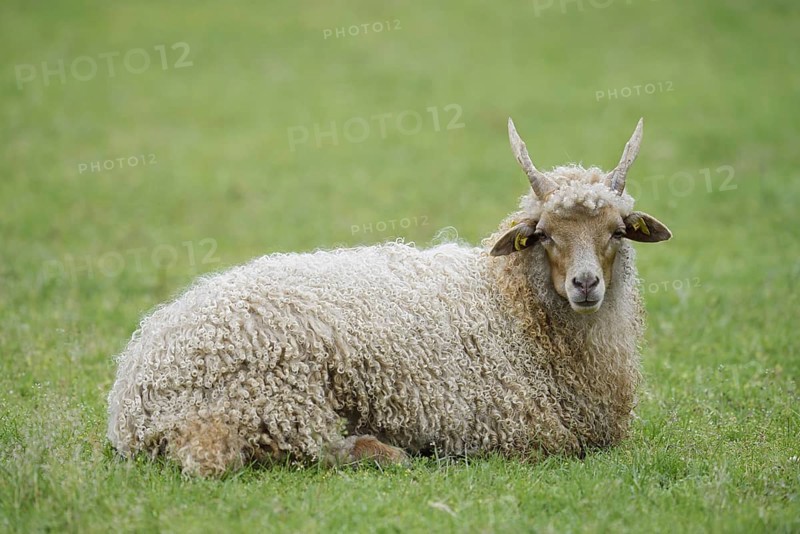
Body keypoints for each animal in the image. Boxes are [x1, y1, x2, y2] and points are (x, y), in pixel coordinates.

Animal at [107, 117, 672, 476]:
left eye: (617, 231)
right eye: (545, 235)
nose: (585, 284)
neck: (508, 306)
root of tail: (132, 397)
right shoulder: (514, 431)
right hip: (274, 401)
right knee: (283, 453)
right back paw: (383, 452)